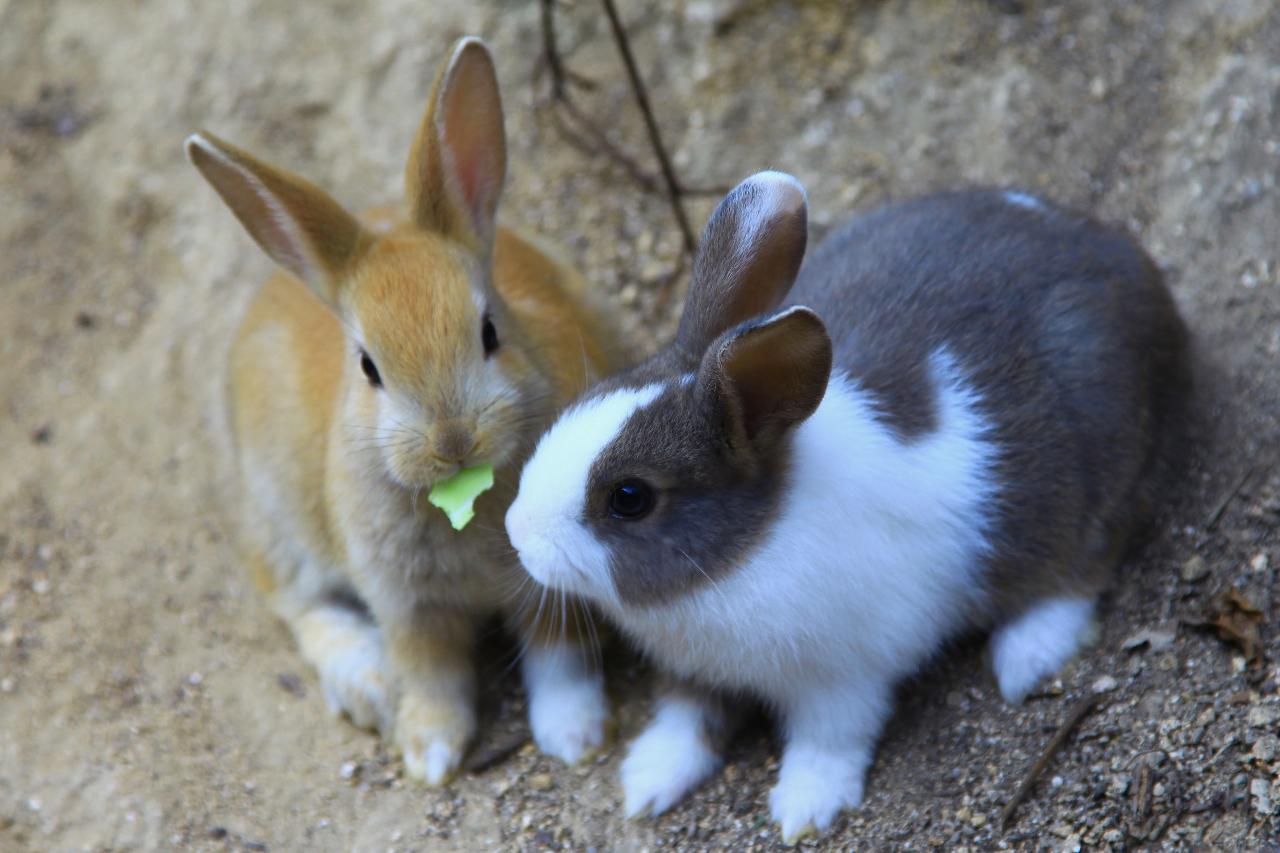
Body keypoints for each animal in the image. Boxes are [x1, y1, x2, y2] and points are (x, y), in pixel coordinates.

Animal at [185, 39, 634, 783]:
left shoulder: (549, 587)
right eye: (369, 367)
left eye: (489, 332)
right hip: (275, 516)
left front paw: (576, 736)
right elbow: (431, 672)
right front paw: (430, 754)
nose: (452, 440)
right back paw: (366, 684)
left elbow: (558, 655)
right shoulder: (405, 604)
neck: (465, 503)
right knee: (297, 603)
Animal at [501, 169, 1187, 835]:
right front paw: (646, 783)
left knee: (1083, 570)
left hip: (1100, 480)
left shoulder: (844, 682)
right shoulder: (696, 674)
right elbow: (686, 720)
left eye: (630, 498)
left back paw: (1026, 657)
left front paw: (805, 810)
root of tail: (1126, 260)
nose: (516, 533)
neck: (747, 552)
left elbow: (827, 742)